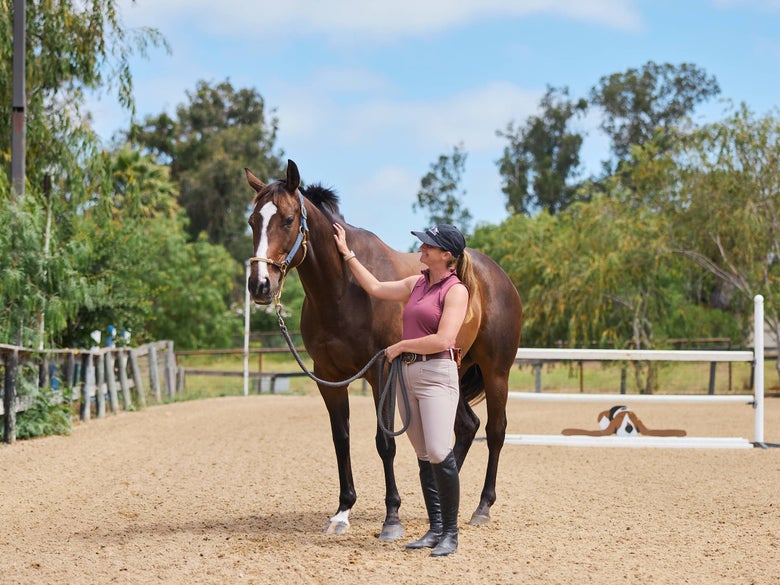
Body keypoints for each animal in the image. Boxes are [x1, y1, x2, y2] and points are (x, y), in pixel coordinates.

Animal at [245, 159, 522, 540]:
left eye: (287, 219)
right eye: (252, 221)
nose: (260, 285)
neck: (344, 289)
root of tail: (498, 275)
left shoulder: (383, 370)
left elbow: (384, 442)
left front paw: (392, 517)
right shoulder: (328, 377)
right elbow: (341, 438)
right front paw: (342, 511)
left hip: (496, 372)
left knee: (495, 431)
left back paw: (482, 507)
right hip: (453, 368)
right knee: (466, 426)